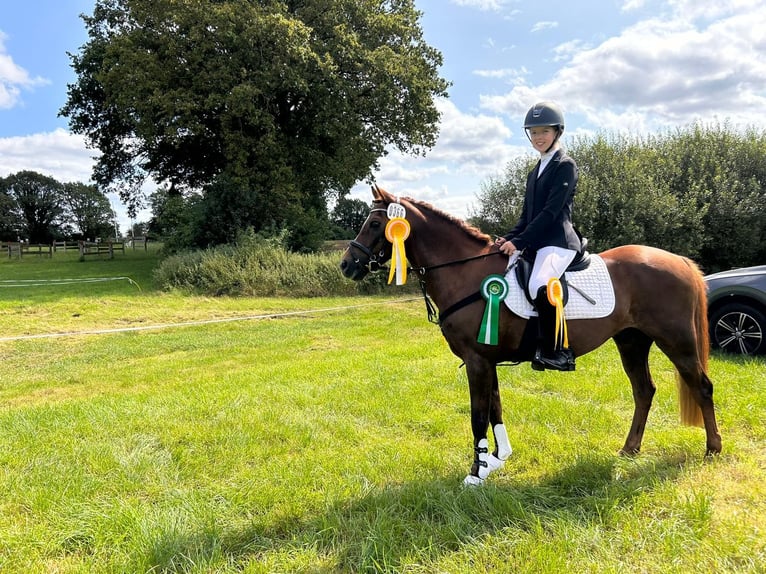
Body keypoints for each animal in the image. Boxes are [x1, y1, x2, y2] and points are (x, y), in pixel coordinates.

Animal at [340, 185, 722, 485]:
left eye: (375, 224)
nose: (346, 265)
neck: (465, 272)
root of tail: (679, 261)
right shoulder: (486, 360)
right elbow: (495, 409)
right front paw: (496, 460)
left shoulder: (477, 361)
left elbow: (478, 415)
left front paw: (476, 473)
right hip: (632, 341)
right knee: (644, 391)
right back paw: (629, 450)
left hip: (677, 342)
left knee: (702, 387)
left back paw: (712, 450)